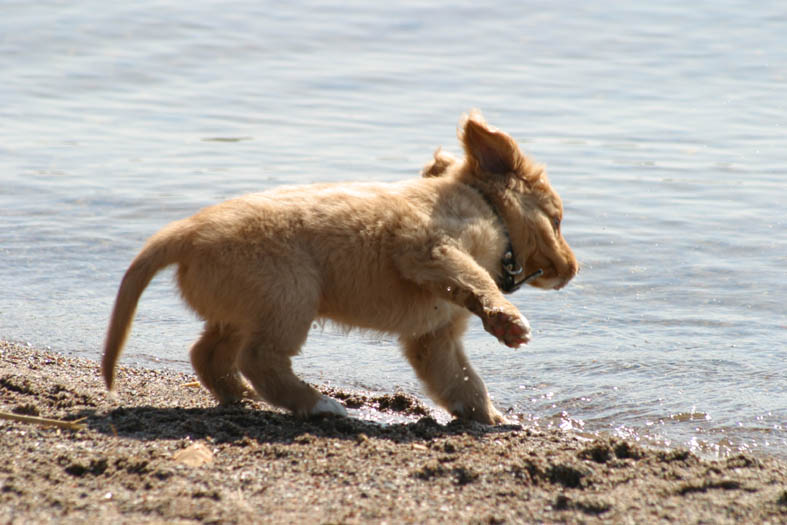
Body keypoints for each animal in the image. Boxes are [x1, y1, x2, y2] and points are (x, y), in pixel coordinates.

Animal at [101, 112, 580, 424]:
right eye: (557, 220)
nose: (574, 270)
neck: (485, 207)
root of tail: (188, 231)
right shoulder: (428, 249)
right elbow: (474, 278)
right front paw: (507, 321)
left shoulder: (435, 337)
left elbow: (462, 381)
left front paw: (490, 417)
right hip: (290, 296)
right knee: (259, 358)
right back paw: (317, 404)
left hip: (245, 307)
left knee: (209, 353)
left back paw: (239, 396)